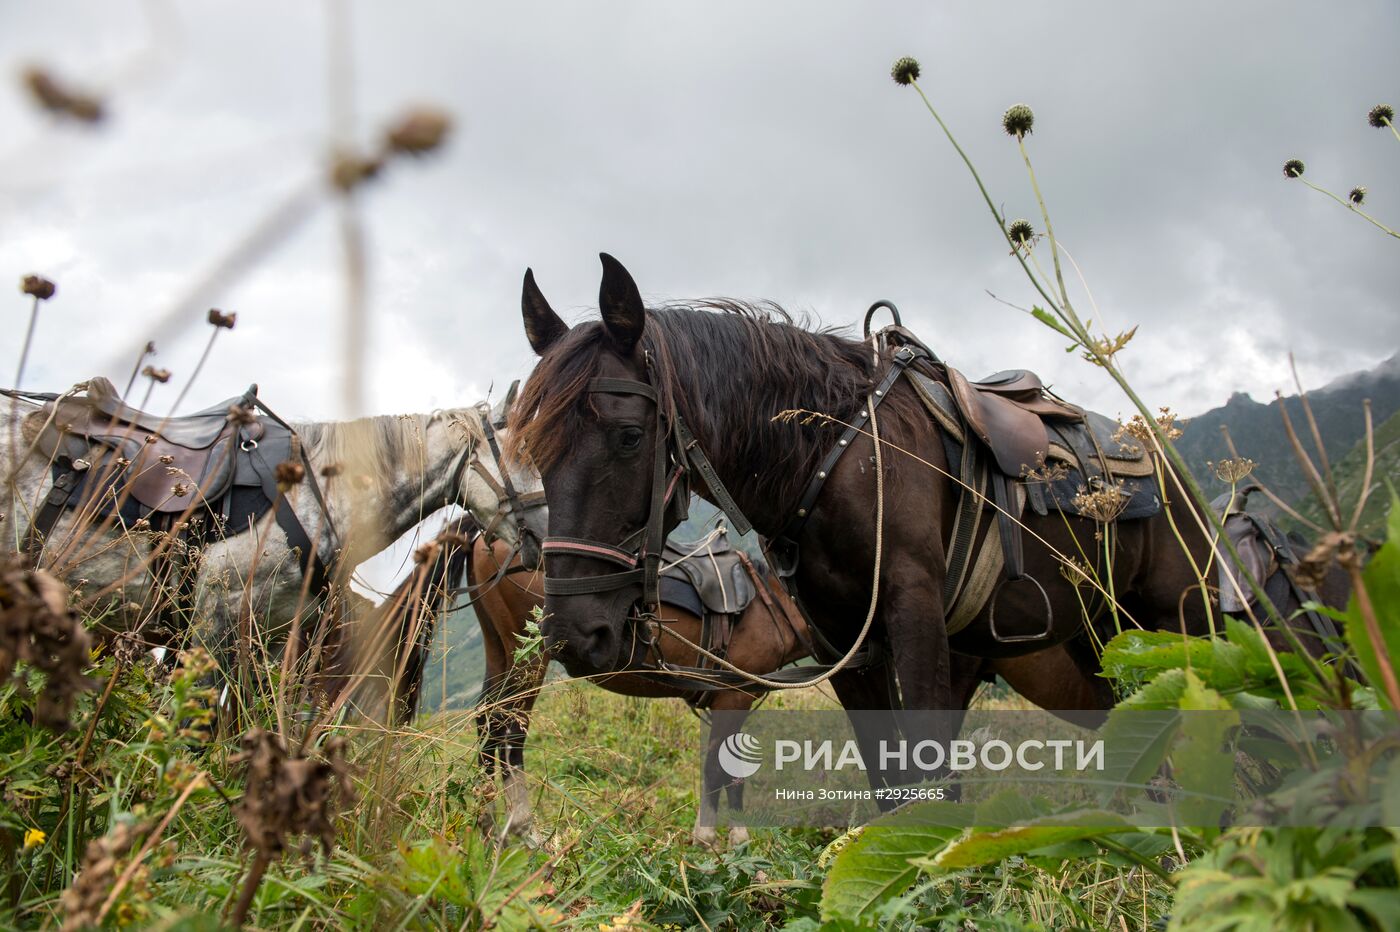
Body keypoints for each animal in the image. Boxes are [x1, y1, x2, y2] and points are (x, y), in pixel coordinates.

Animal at [509, 251, 1338, 778]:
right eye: (532, 451)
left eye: (628, 436)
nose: (574, 633)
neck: (838, 452)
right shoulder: (847, 647)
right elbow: (890, 785)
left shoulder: (914, 617)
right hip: (1098, 634)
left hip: (1187, 617)